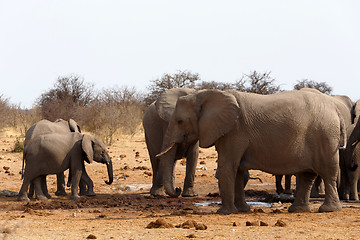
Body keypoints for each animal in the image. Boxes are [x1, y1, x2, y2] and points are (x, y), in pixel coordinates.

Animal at [157, 88, 346, 214]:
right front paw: (243, 210)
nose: (178, 190)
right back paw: (298, 210)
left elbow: (227, 167)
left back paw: (328, 210)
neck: (205, 95)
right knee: (307, 175)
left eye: (180, 121)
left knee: (327, 172)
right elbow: (238, 171)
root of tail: (336, 110)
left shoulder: (234, 131)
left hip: (324, 135)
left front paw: (225, 213)